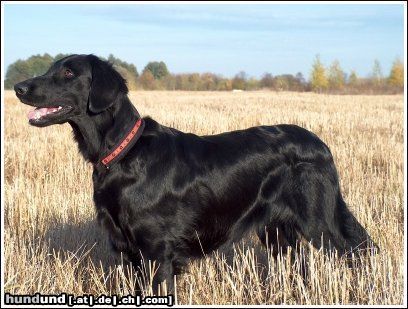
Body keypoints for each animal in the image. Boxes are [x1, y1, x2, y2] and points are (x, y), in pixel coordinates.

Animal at [14, 54, 378, 292]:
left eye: (68, 72)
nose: (19, 87)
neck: (123, 152)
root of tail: (321, 145)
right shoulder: (127, 252)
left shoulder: (156, 252)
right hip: (277, 233)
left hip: (321, 223)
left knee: (360, 253)